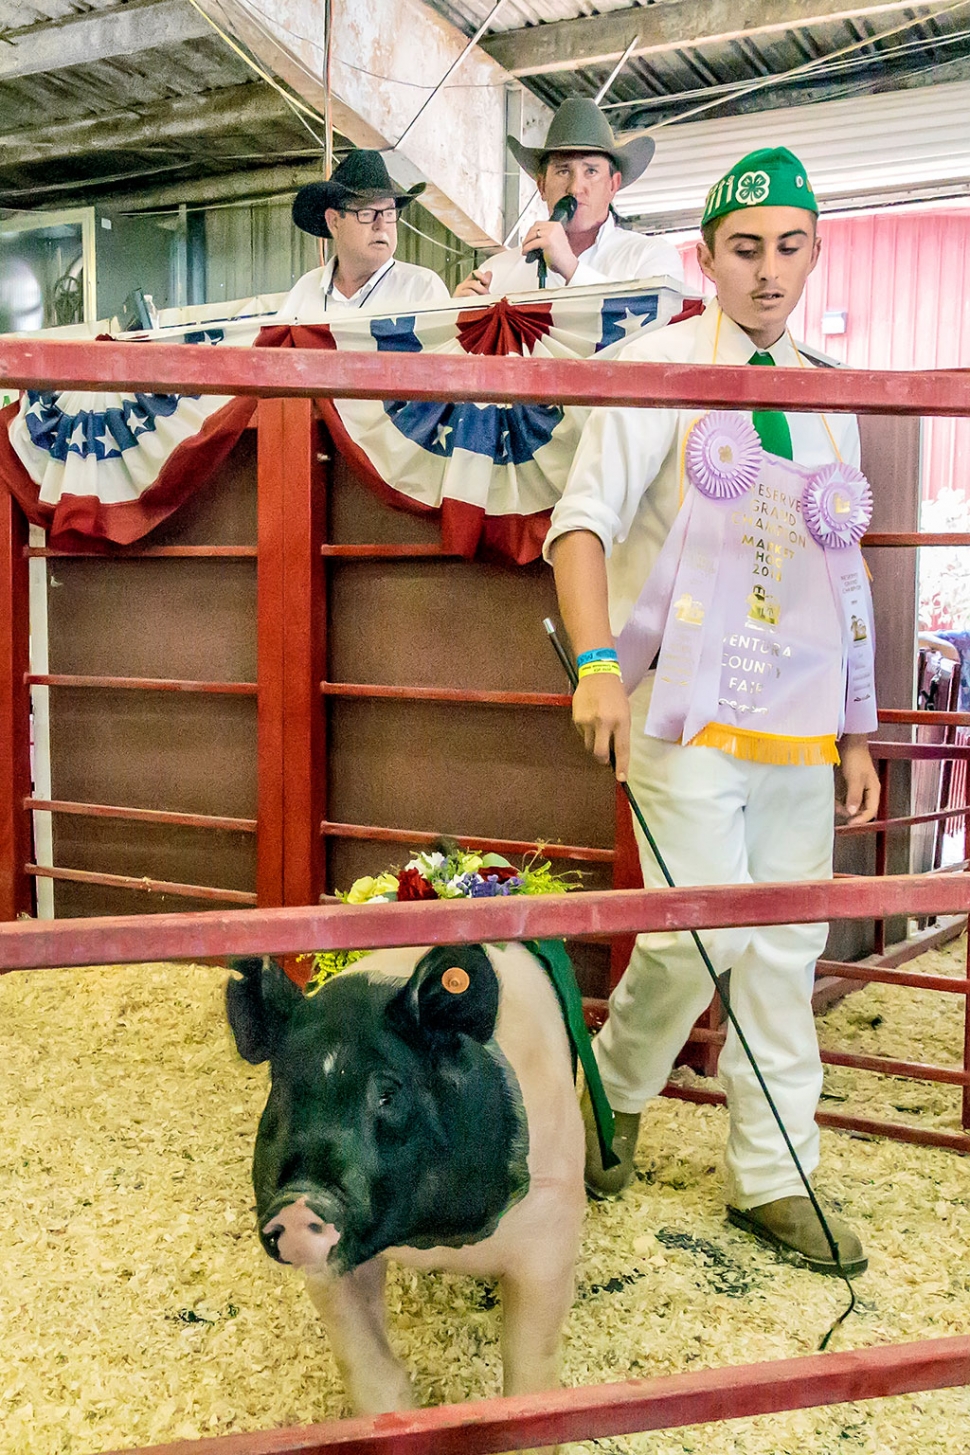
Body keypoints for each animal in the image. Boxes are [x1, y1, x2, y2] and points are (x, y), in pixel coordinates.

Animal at [228, 937, 587, 1414]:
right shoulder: (333, 1267)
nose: (299, 1201)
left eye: (388, 1093)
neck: (432, 1238)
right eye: (282, 1089)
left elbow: (531, 1365)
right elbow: (370, 1369)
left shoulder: (552, 1228)